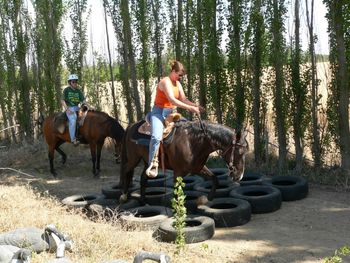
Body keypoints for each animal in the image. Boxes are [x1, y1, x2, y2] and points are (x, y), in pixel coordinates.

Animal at [120, 120, 249, 203]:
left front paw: (209, 197)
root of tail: (132, 125)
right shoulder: (178, 173)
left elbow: (215, 179)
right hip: (133, 159)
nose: (240, 176)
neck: (193, 142)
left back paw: (142, 200)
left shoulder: (198, 168)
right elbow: (177, 193)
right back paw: (123, 195)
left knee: (143, 177)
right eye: (240, 152)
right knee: (126, 170)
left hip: (148, 162)